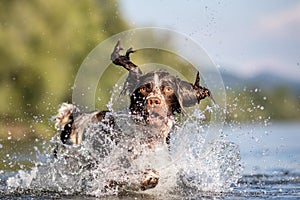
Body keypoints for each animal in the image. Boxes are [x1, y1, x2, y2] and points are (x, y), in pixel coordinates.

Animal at [54, 40, 213, 191]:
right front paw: (147, 177)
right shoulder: (106, 168)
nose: (153, 100)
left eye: (168, 89)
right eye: (143, 89)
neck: (146, 137)